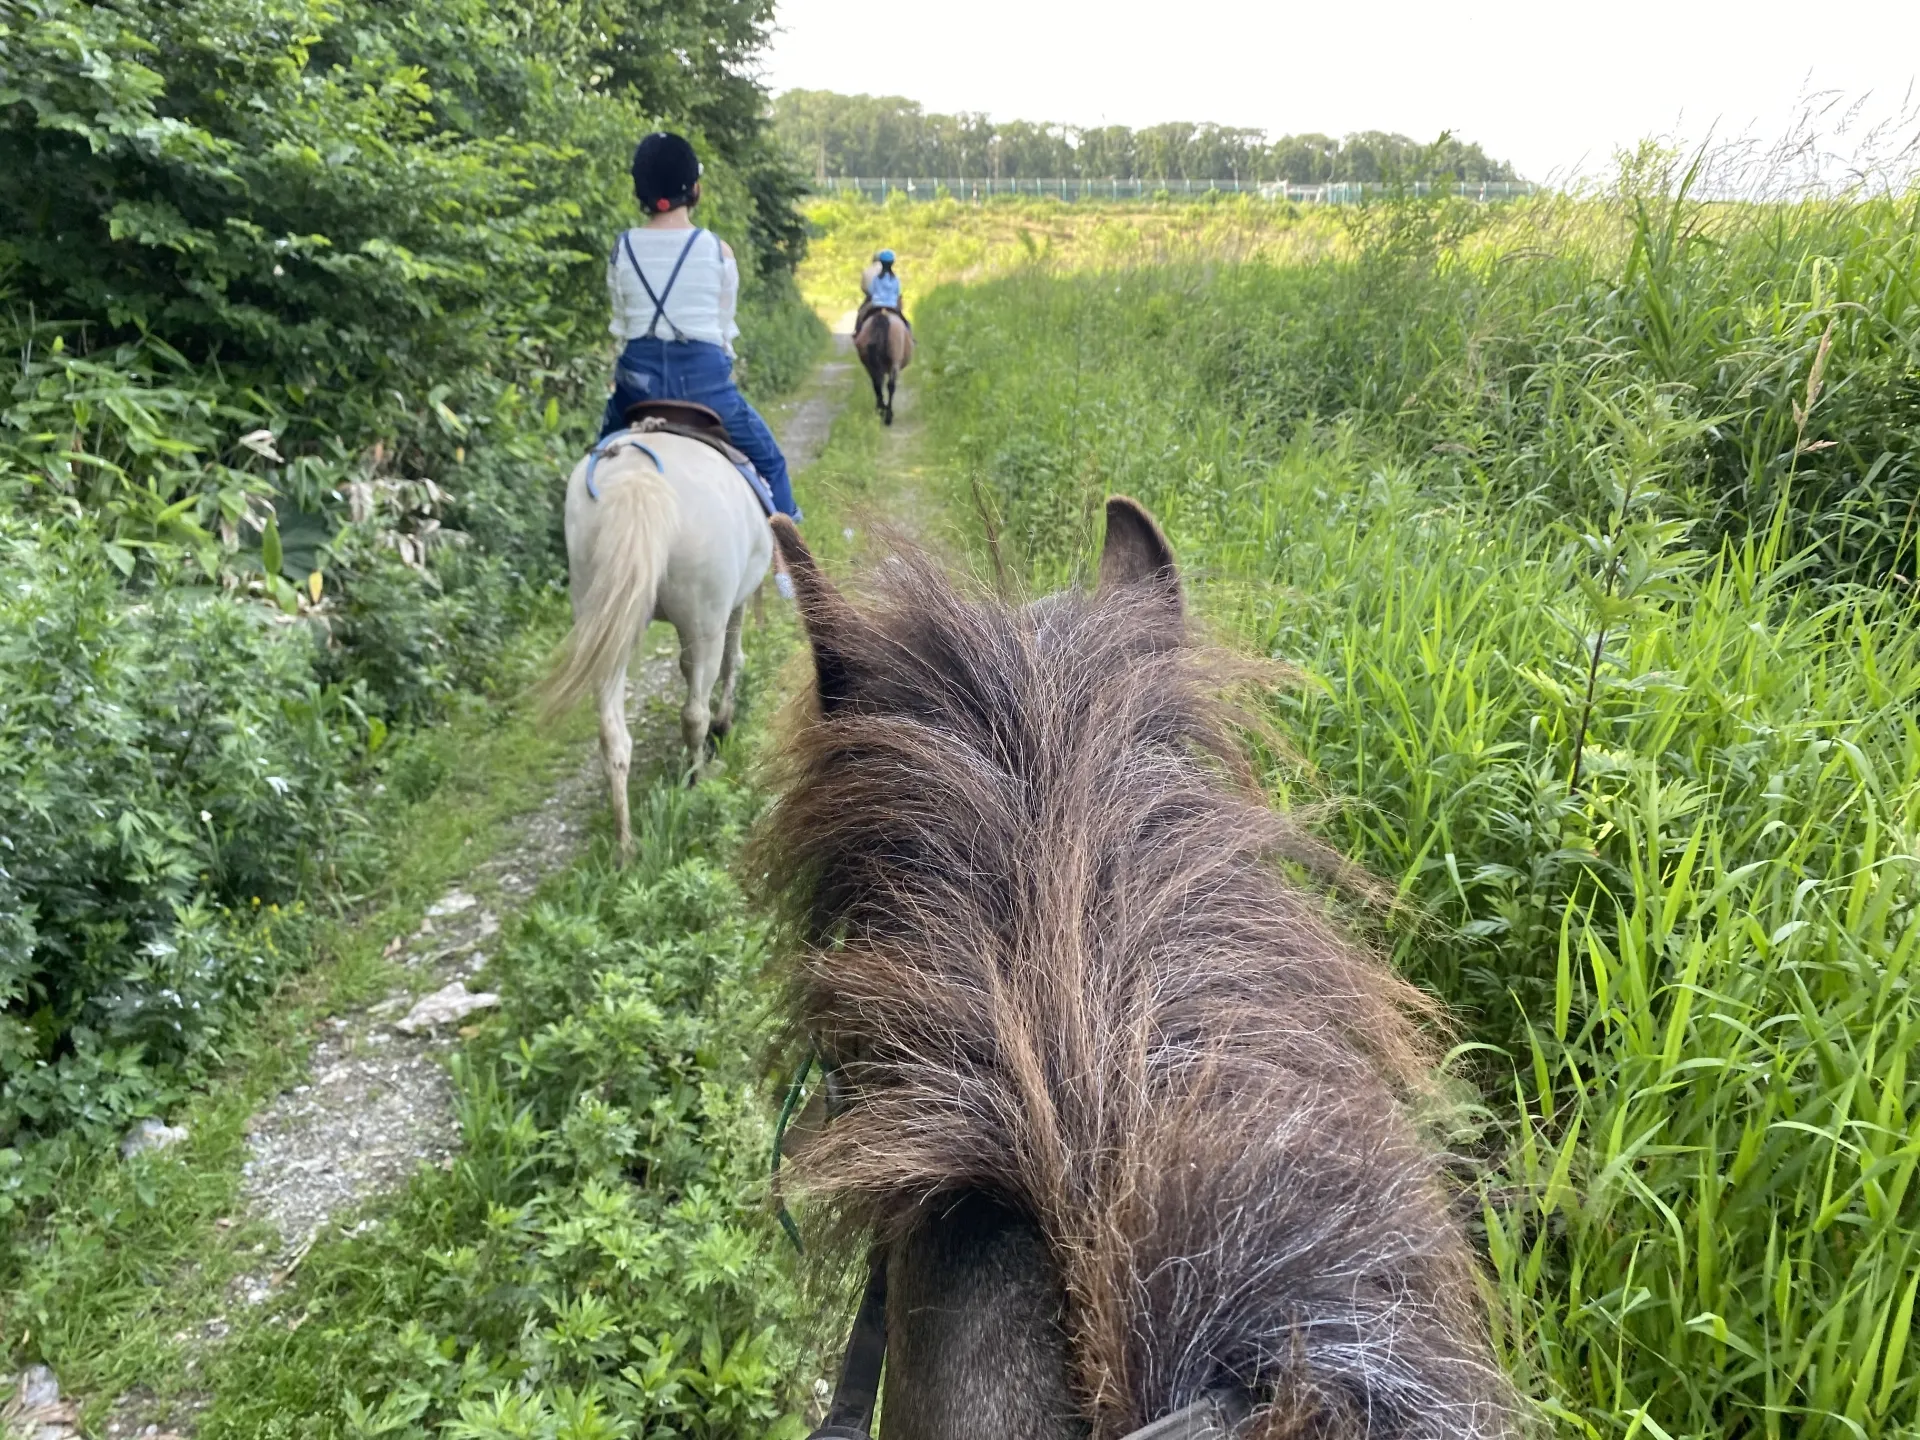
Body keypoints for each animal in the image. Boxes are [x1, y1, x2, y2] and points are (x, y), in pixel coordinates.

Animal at [541, 431, 770, 861]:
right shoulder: (734, 604)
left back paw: (626, 844)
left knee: (612, 736)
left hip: (605, 626)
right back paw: (699, 779)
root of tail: (637, 476)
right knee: (694, 713)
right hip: (703, 620)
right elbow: (733, 659)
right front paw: (726, 721)